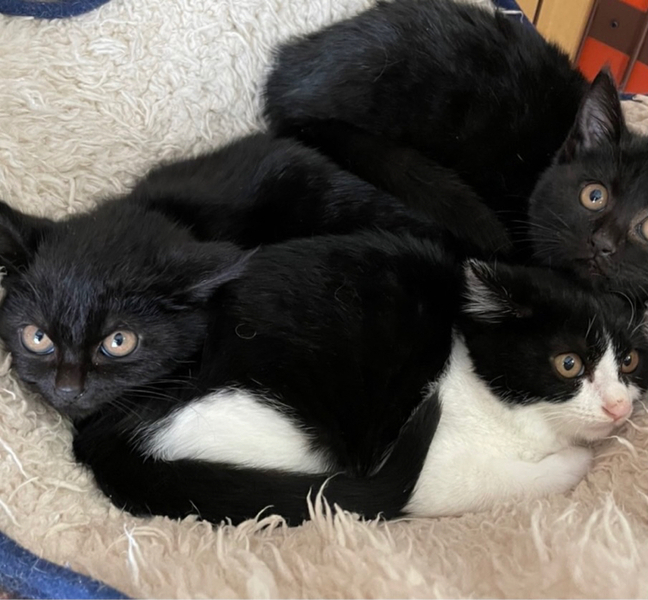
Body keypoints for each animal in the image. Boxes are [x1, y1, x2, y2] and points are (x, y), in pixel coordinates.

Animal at [0, 192, 645, 524]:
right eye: (568, 363)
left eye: (632, 363)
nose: (618, 408)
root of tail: (106, 430)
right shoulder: (440, 464)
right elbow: (496, 482)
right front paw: (574, 464)